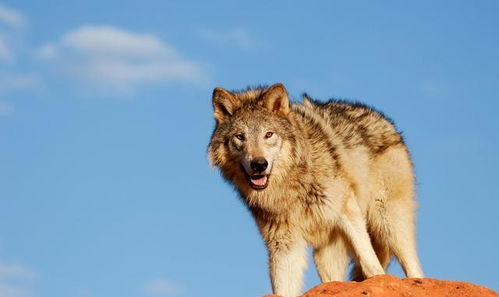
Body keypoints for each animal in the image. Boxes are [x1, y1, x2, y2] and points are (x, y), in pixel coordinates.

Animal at [209, 82, 424, 294]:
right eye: (240, 137)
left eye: (268, 134)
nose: (259, 164)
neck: (291, 185)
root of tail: (385, 121)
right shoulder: (283, 243)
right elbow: (282, 287)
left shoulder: (347, 209)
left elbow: (371, 263)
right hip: (325, 256)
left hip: (388, 222)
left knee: (414, 269)